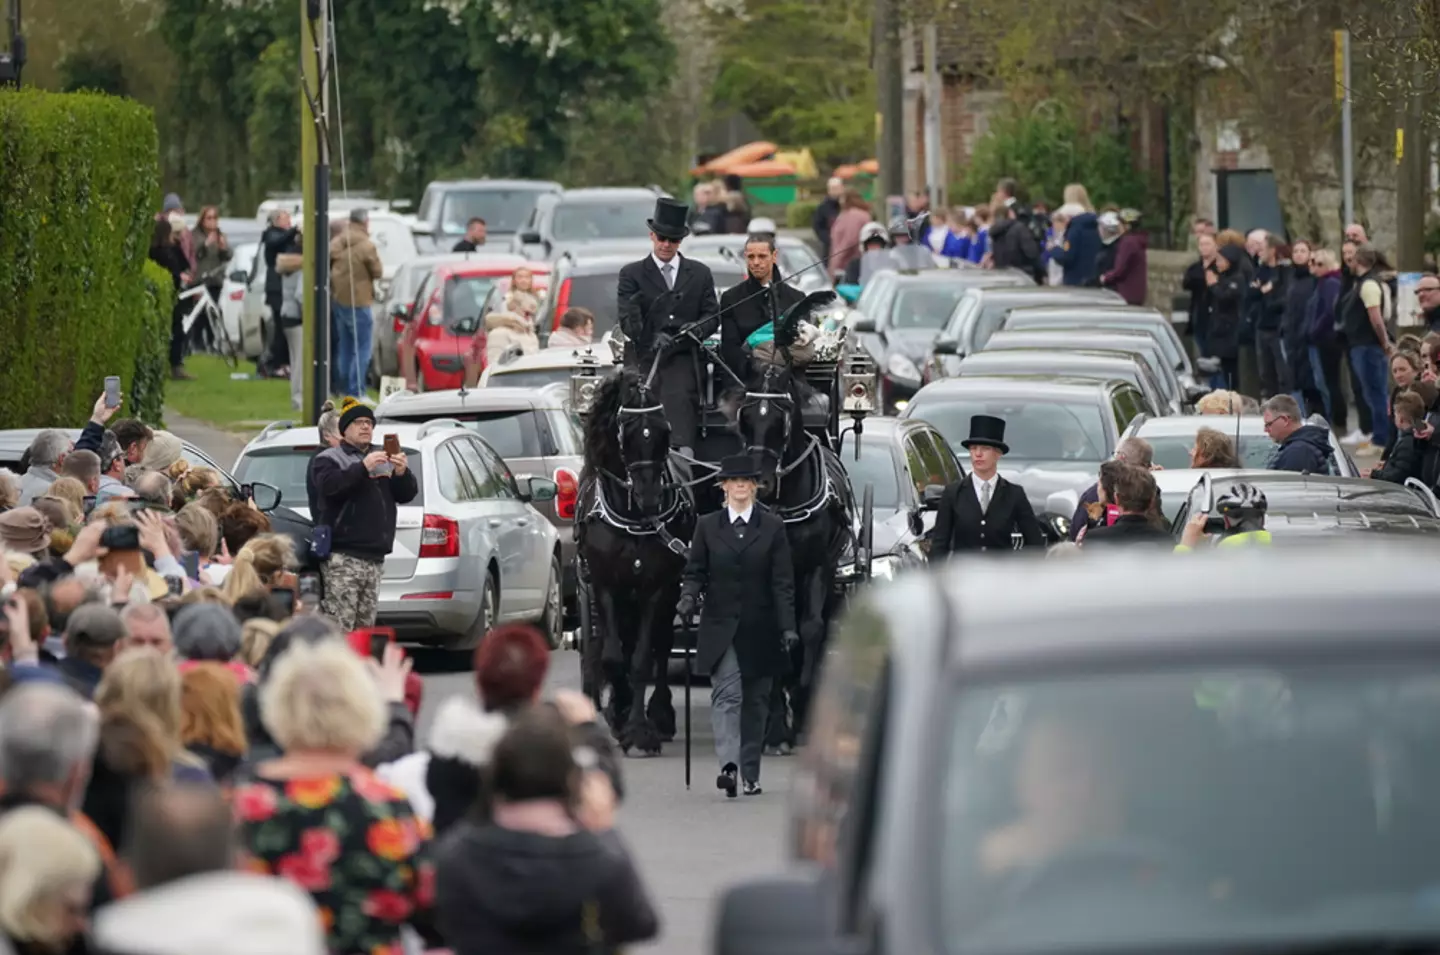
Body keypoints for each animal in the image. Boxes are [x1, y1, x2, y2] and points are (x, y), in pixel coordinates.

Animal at [573, 365, 696, 754]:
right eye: (625, 433)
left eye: (663, 430)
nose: (651, 497)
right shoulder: (604, 584)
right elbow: (614, 658)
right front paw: (620, 711)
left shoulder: (655, 587)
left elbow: (643, 658)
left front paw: (640, 730)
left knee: (662, 645)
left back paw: (661, 714)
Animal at [720, 358, 852, 754]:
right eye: (746, 418)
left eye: (783, 419)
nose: (759, 482)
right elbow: (778, 631)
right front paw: (776, 727)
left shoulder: (819, 566)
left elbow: (810, 629)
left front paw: (804, 708)